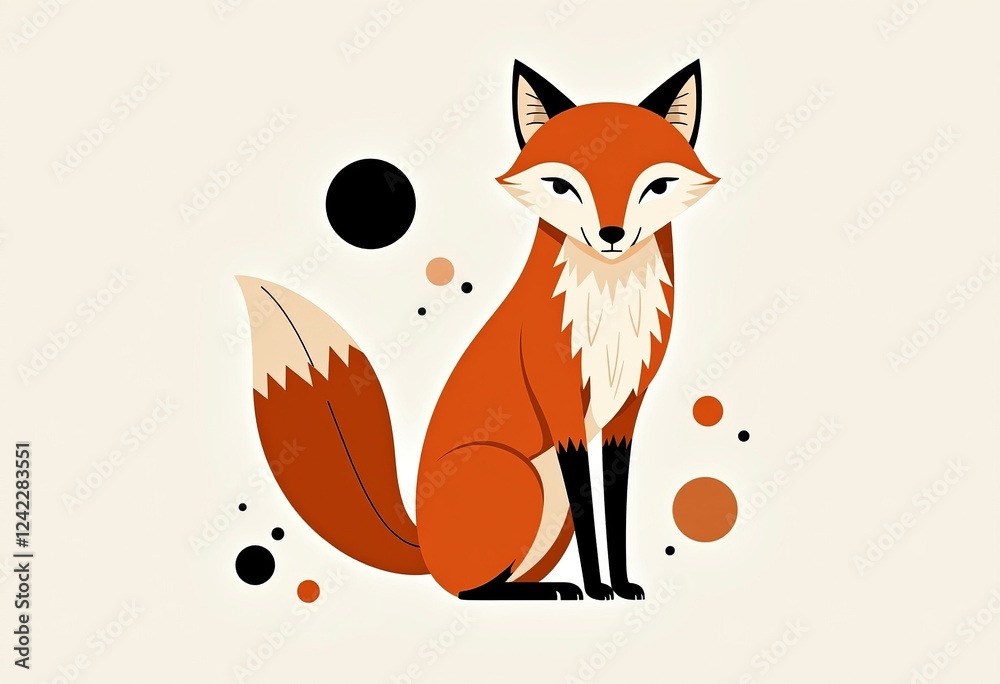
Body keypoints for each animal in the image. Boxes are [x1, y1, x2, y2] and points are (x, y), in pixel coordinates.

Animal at [237, 59, 718, 600]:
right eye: (563, 186)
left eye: (655, 186)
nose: (610, 236)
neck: (608, 301)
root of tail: (423, 546)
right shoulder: (560, 402)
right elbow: (588, 506)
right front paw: (598, 587)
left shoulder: (628, 406)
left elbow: (614, 506)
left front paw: (620, 583)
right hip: (519, 475)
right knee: (468, 588)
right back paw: (541, 591)